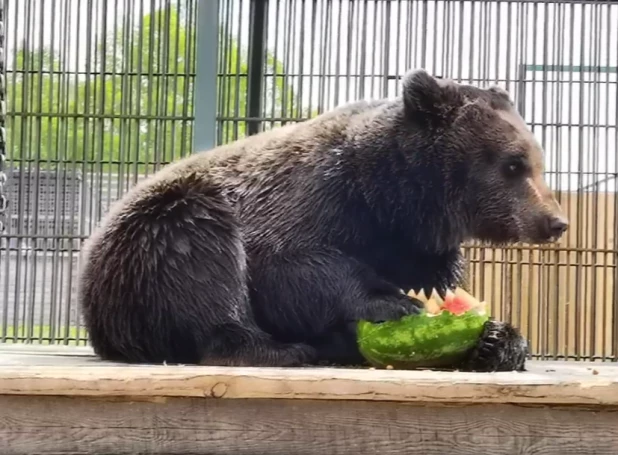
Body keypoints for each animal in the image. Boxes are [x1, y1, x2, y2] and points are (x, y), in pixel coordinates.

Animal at [78, 69, 568, 372]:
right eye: (513, 164)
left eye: (539, 163)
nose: (555, 221)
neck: (392, 200)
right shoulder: (313, 198)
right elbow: (290, 266)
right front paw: (393, 303)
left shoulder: (410, 245)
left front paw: (495, 340)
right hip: (155, 235)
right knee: (200, 262)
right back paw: (277, 349)